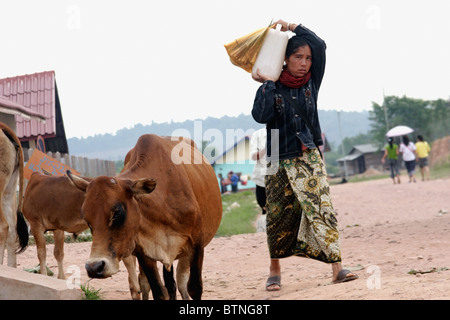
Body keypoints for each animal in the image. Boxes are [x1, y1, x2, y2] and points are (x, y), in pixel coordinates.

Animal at [22, 172, 141, 300]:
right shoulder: (57, 228)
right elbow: (58, 253)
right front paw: (62, 279)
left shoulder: (35, 224)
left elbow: (41, 253)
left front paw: (43, 276)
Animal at [67, 134, 222, 298]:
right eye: (87, 219)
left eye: (117, 212)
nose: (94, 267)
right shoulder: (143, 252)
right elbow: (159, 291)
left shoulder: (196, 243)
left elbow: (194, 287)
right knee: (152, 283)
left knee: (180, 282)